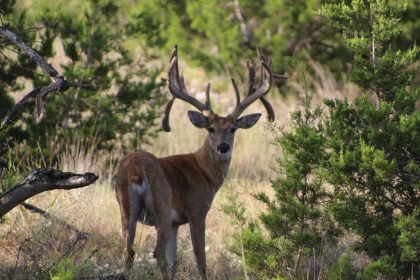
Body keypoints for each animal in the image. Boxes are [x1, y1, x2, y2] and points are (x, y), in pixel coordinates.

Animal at [116, 46, 284, 280]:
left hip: (126, 208)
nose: (223, 147)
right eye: (210, 128)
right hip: (161, 206)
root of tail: (136, 170)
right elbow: (200, 259)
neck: (202, 171)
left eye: (233, 129)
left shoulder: (176, 222)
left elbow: (175, 262)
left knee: (128, 251)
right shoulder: (196, 210)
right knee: (157, 252)